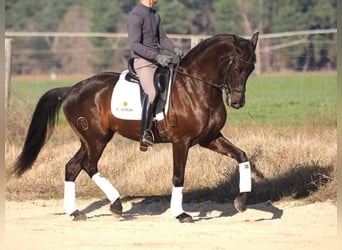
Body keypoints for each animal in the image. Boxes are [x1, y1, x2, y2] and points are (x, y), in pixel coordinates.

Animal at [13, 32, 260, 223]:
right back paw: (115, 205)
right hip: (96, 139)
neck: (195, 87)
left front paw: (241, 202)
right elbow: (178, 177)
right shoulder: (181, 142)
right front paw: (180, 214)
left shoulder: (210, 138)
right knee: (88, 165)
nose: (237, 102)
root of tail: (71, 90)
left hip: (91, 140)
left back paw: (76, 212)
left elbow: (242, 156)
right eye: (238, 67)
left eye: (251, 68)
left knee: (73, 167)